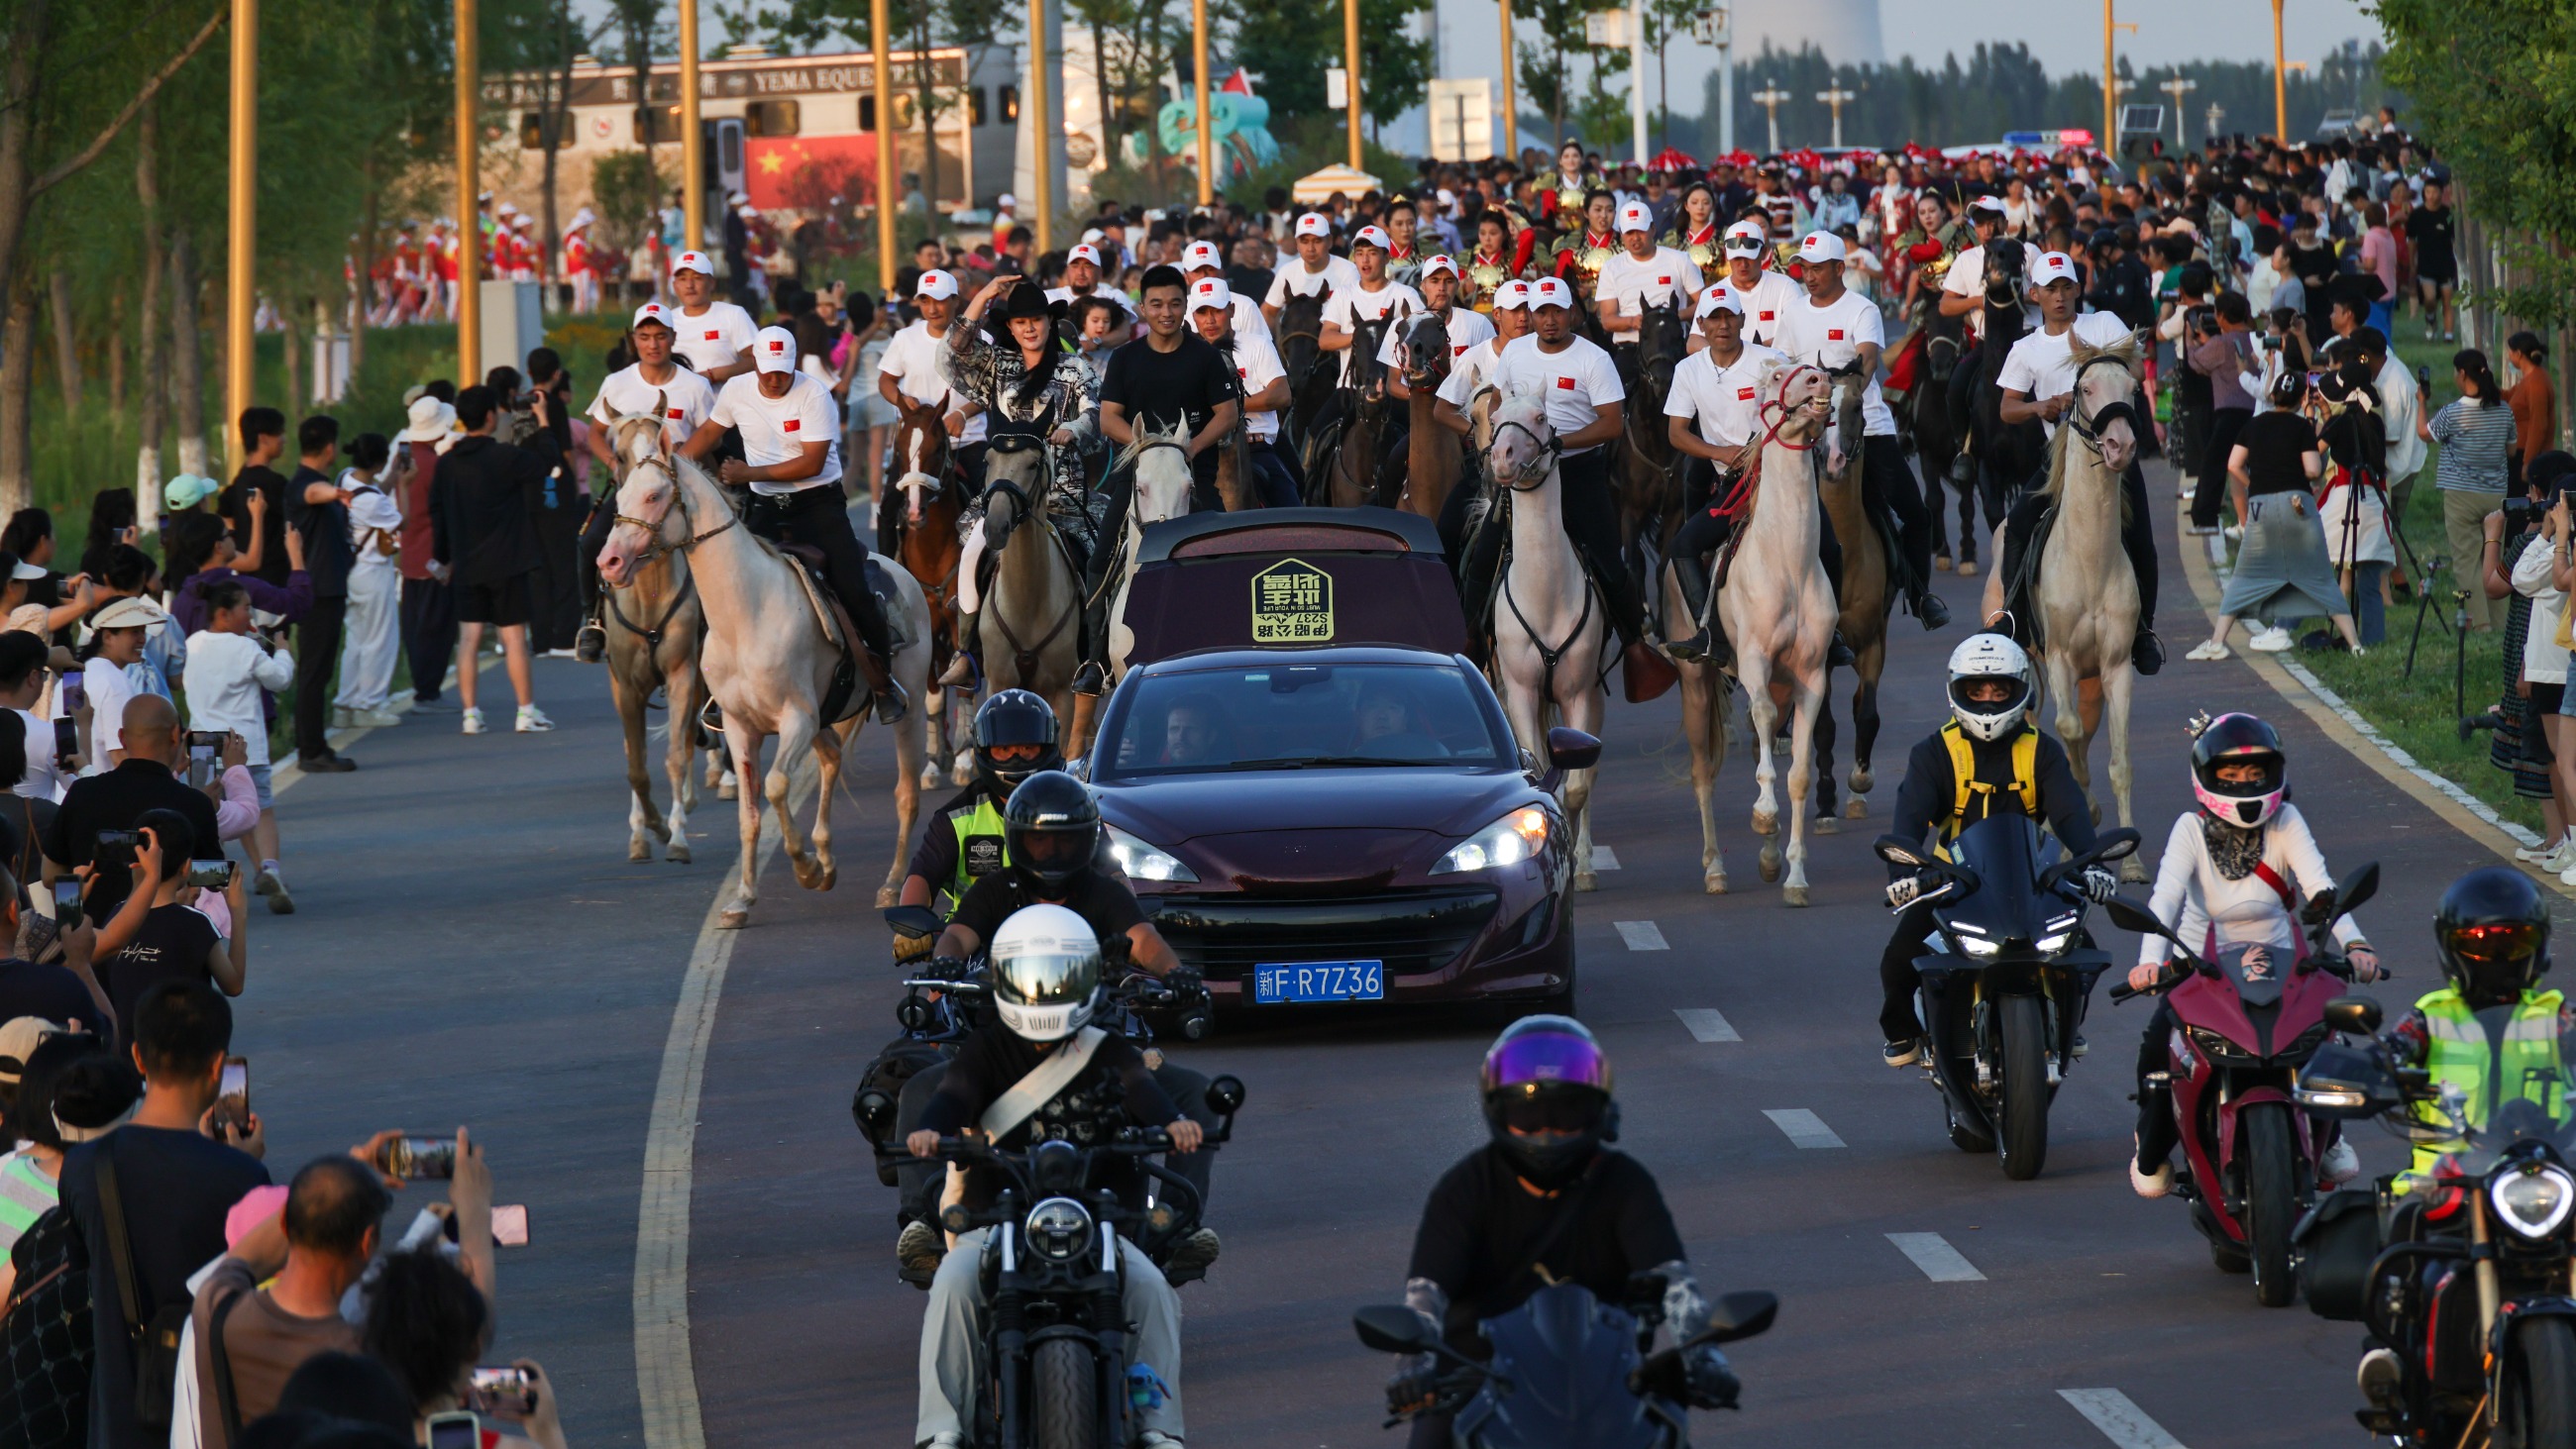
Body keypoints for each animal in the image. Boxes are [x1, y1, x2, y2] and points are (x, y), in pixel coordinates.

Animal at [597, 452, 935, 924]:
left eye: (653, 495)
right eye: (621, 494)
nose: (608, 562)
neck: (745, 614)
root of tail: (901, 571)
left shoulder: (796, 719)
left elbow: (775, 786)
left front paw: (805, 867)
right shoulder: (741, 727)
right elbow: (749, 814)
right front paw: (744, 898)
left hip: (912, 709)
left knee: (906, 794)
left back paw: (890, 884)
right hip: (825, 719)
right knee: (832, 759)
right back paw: (828, 858)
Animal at [1699, 360, 1838, 904]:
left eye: (1815, 369)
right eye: (1778, 375)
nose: (1821, 380)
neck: (1789, 563)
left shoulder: (1811, 676)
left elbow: (1797, 776)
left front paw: (1794, 876)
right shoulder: (1755, 661)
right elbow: (1759, 719)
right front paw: (1762, 813)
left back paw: (1770, 858)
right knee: (1705, 772)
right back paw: (1715, 869)